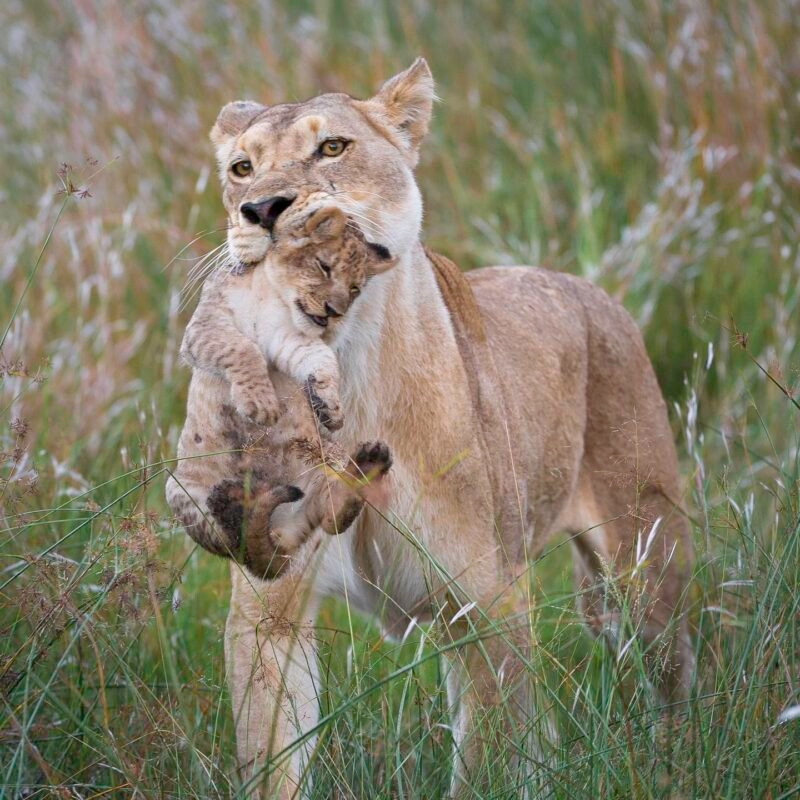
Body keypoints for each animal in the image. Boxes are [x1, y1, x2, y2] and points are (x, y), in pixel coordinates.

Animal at [202, 58, 694, 798]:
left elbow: (487, 762)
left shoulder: (484, 605)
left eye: (332, 148)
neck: (350, 375)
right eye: (241, 167)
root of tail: (589, 290)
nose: (260, 210)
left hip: (645, 562)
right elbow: (272, 764)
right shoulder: (267, 619)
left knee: (673, 682)